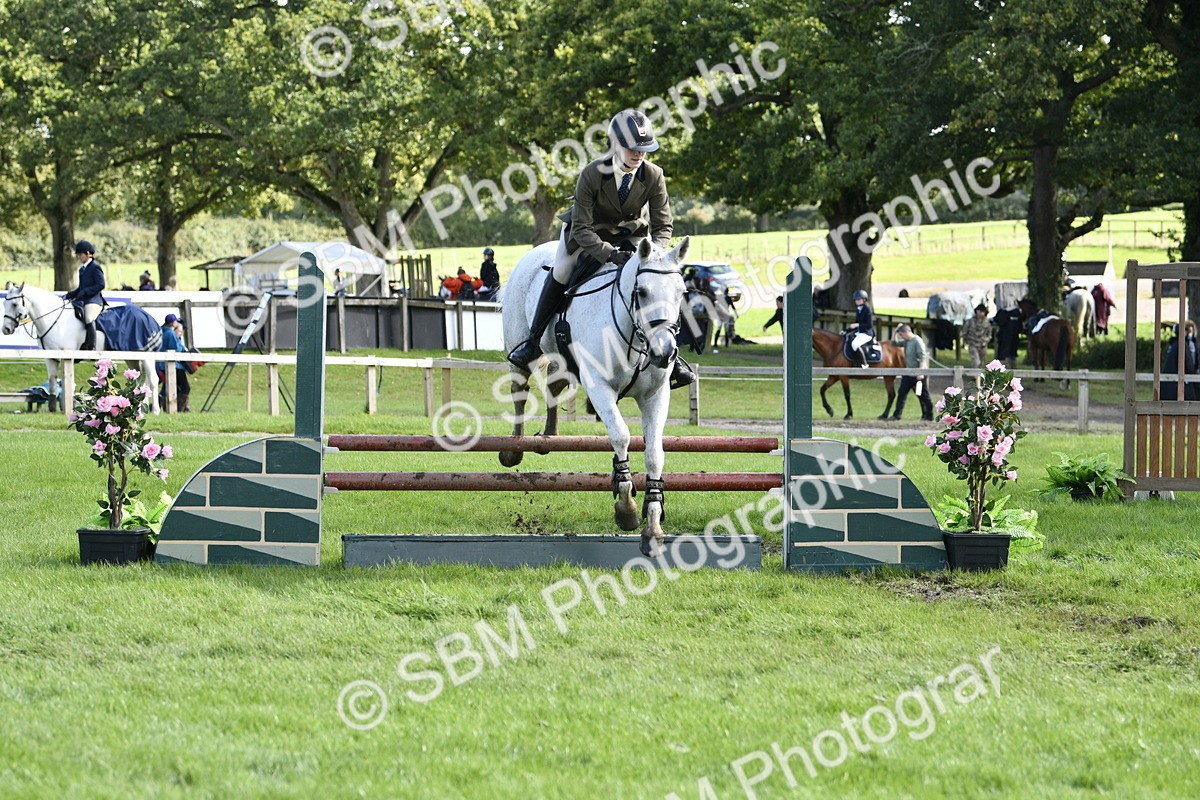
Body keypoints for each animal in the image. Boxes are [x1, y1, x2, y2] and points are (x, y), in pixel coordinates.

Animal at [2, 282, 162, 413]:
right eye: (4, 303)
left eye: (15, 304)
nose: (6, 329)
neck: (54, 320)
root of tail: (146, 315)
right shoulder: (50, 358)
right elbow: (53, 383)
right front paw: (52, 409)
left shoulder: (68, 357)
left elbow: (70, 385)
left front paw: (71, 408)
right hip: (132, 357)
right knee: (138, 380)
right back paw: (139, 408)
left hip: (146, 355)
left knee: (152, 380)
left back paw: (154, 410)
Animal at [500, 237, 689, 558]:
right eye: (642, 292)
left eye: (681, 292)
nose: (664, 353)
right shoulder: (599, 387)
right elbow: (622, 436)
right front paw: (626, 509)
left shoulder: (655, 395)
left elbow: (654, 453)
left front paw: (652, 529)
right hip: (520, 349)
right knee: (520, 391)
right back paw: (514, 447)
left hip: (563, 362)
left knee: (553, 386)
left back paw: (549, 435)